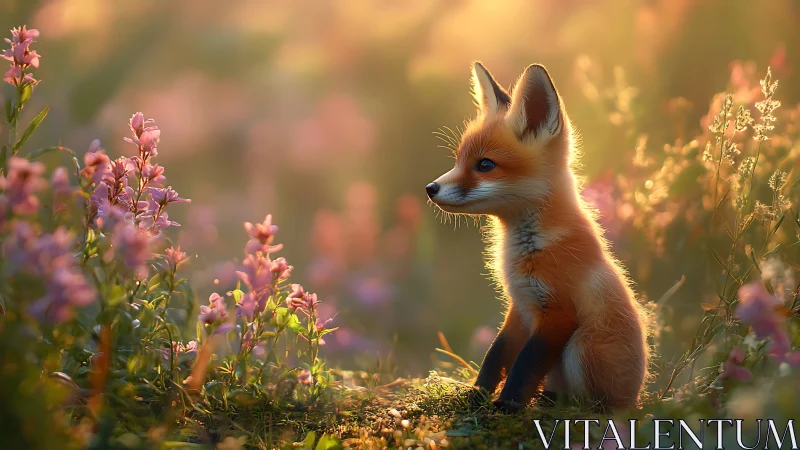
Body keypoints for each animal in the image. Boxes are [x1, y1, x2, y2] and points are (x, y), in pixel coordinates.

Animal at [426, 62, 649, 413]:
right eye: (459, 159)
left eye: (485, 164)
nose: (430, 189)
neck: (528, 248)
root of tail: (637, 398)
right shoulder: (520, 306)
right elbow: (496, 355)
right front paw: (477, 395)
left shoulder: (557, 313)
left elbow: (525, 365)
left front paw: (507, 405)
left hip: (582, 346)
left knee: (596, 403)